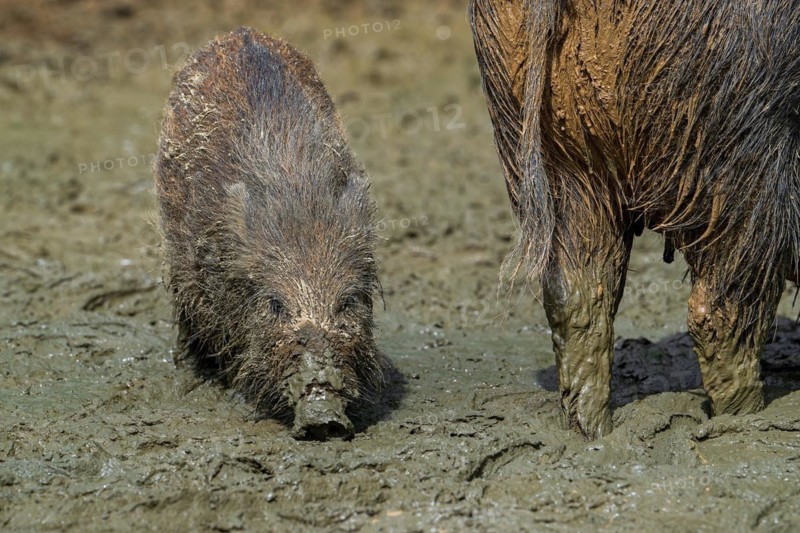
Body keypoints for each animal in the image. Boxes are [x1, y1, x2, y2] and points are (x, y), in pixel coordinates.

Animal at [469, 0, 800, 438]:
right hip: (741, 145)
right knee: (719, 310)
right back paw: (745, 421)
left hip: (545, 146)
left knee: (576, 296)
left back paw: (593, 435)